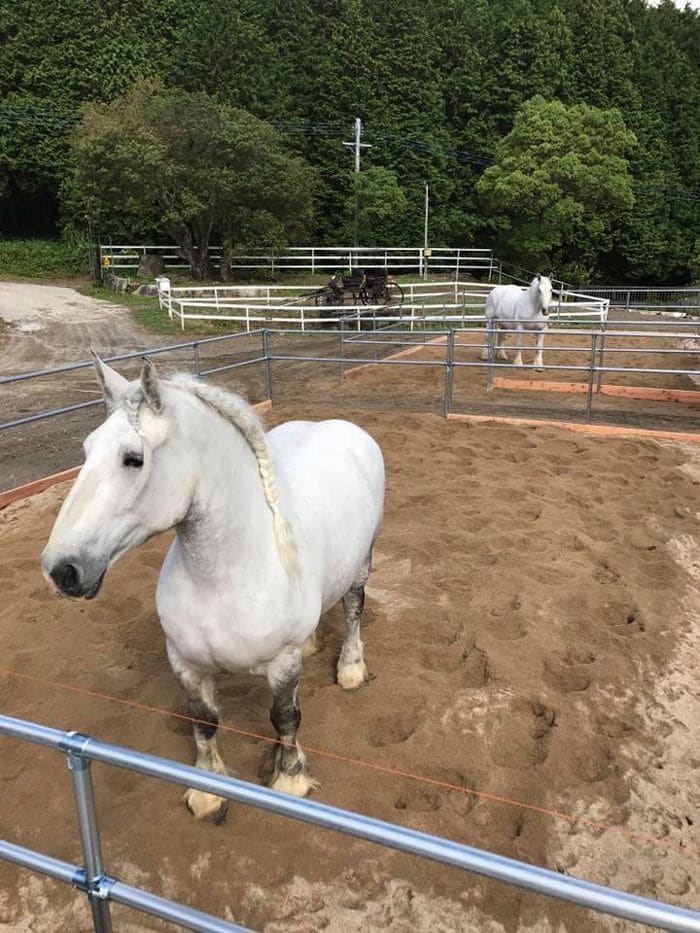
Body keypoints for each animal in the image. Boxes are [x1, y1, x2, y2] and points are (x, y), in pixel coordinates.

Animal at [42, 356, 385, 822]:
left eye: (133, 458)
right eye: (87, 449)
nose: (60, 570)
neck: (220, 578)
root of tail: (345, 428)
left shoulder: (282, 664)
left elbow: (285, 717)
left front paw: (289, 779)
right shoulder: (184, 662)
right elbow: (203, 721)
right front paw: (208, 793)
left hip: (363, 562)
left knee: (352, 609)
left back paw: (350, 668)